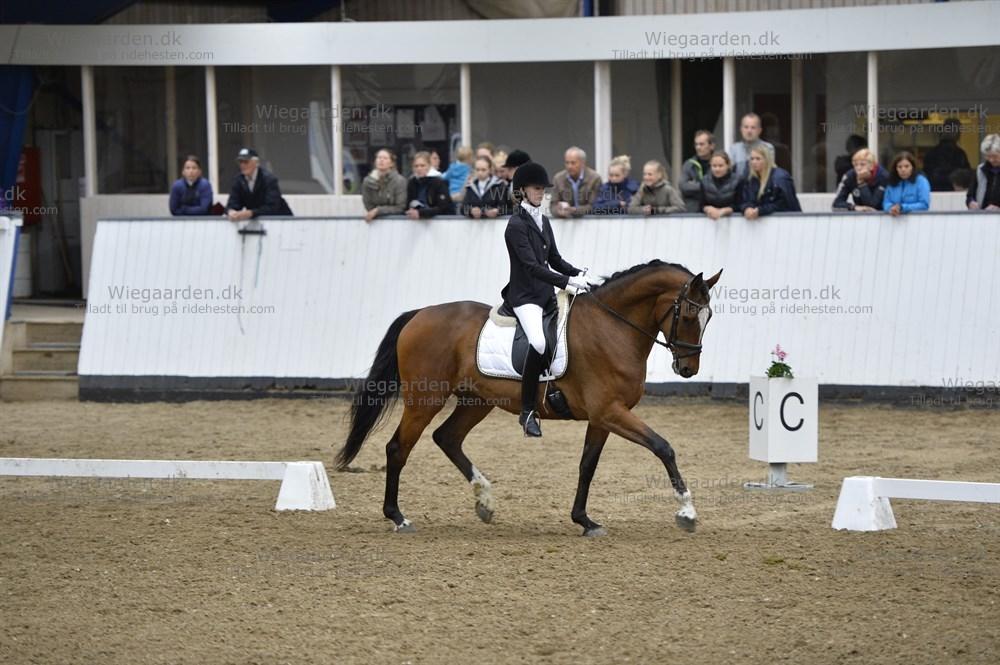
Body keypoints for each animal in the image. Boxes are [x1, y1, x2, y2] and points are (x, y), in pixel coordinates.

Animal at [340, 260, 724, 536]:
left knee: (446, 438)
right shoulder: (610, 412)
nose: (687, 368)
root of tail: (419, 314)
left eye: (710, 317)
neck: (612, 327)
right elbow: (663, 447)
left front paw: (584, 520)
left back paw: (485, 501)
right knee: (398, 448)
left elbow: (587, 466)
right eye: (690, 314)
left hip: (476, 402)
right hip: (425, 400)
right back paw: (398, 517)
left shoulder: (602, 417)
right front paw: (687, 512)